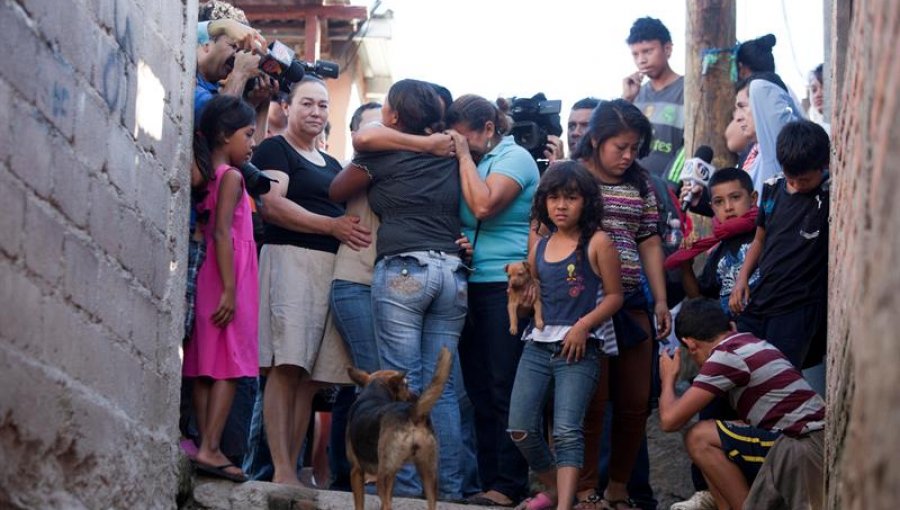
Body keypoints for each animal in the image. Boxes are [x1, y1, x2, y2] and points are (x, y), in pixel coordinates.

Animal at [348, 346, 454, 510]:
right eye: (406, 385)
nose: (416, 396)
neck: (373, 394)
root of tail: (411, 413)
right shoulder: (392, 476)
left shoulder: (356, 471)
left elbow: (360, 505)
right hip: (428, 474)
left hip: (382, 478)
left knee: (386, 504)